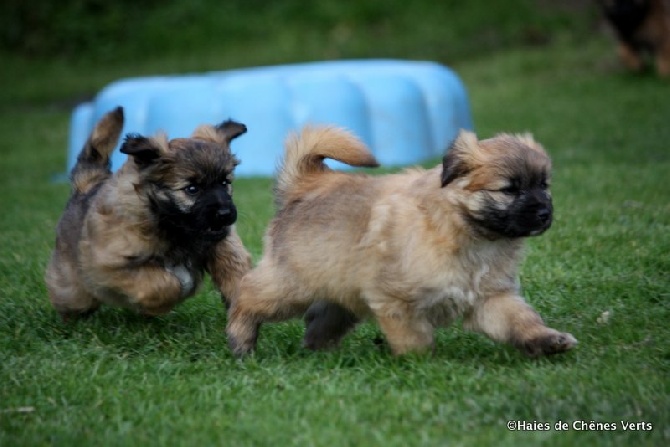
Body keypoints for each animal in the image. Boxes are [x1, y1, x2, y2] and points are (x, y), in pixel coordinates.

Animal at [45, 107, 252, 320]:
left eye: (225, 182)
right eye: (192, 189)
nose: (225, 213)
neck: (173, 228)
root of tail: (86, 186)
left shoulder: (223, 245)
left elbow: (235, 272)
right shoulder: (108, 264)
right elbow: (162, 282)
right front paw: (164, 300)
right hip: (74, 289)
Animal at [226, 128, 576, 358]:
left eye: (544, 185)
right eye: (509, 190)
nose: (544, 214)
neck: (467, 231)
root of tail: (307, 186)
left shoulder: (492, 297)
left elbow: (520, 320)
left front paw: (546, 340)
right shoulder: (395, 299)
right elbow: (415, 340)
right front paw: (422, 365)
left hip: (339, 293)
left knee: (319, 323)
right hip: (291, 285)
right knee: (247, 294)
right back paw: (241, 340)